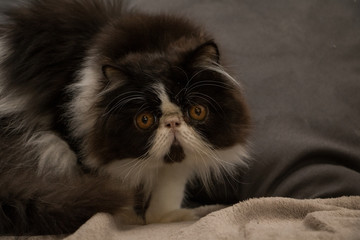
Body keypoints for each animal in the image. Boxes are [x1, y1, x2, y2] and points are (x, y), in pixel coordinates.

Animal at [0, 0, 250, 236]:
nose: (172, 122)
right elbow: (117, 185)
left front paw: (164, 218)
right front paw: (125, 217)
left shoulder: (176, 165)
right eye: (145, 120)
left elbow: (168, 187)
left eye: (197, 111)